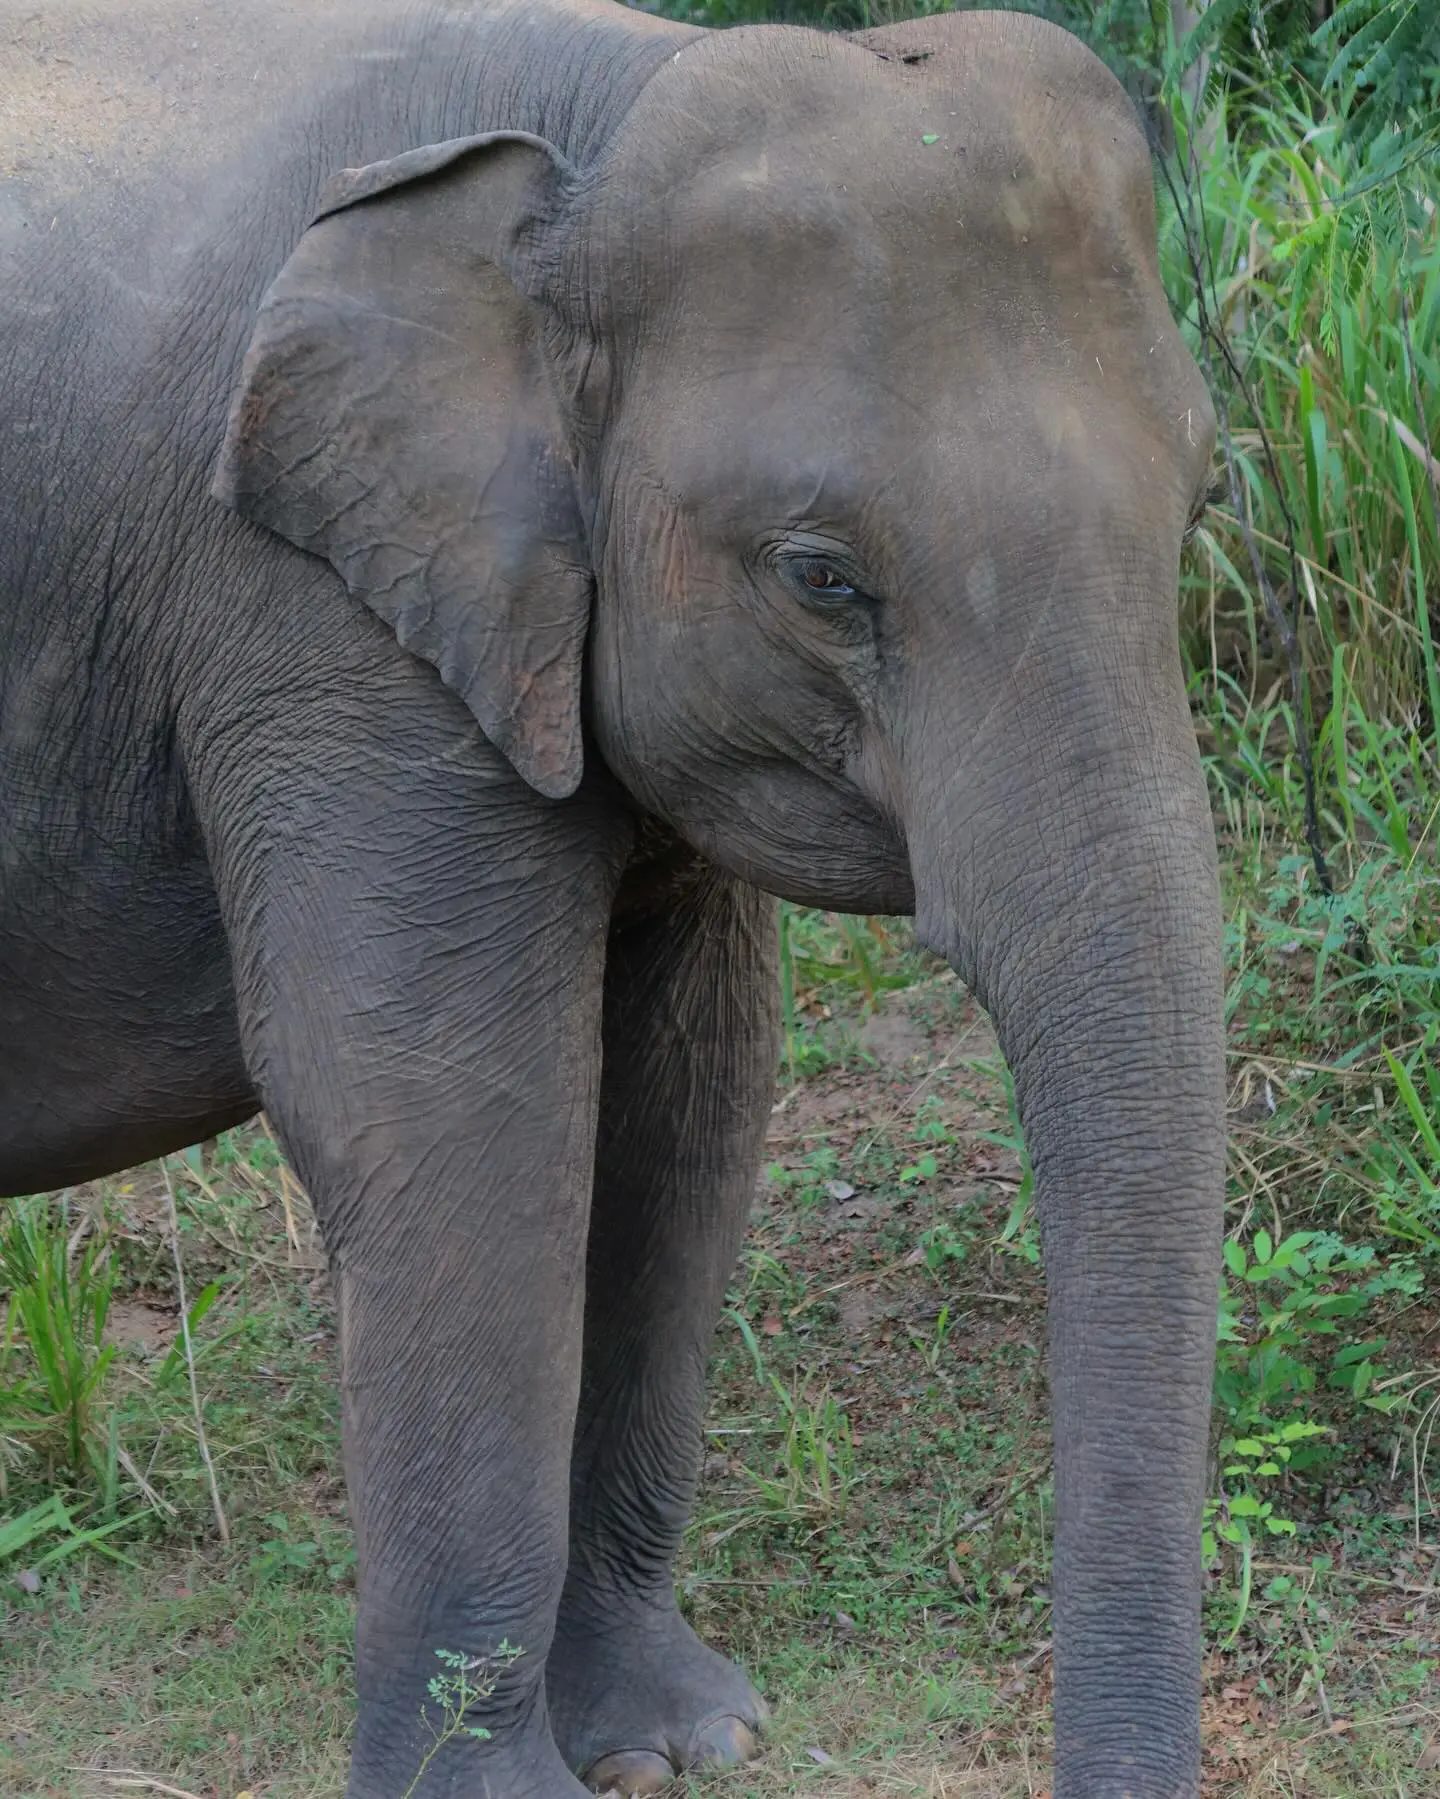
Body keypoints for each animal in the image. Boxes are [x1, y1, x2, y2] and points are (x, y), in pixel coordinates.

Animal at [0, 3, 1224, 1799]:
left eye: (1205, 502)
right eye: (821, 577)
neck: (593, 114)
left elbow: (685, 1096)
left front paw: (677, 1740)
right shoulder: (308, 620)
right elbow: (455, 1114)